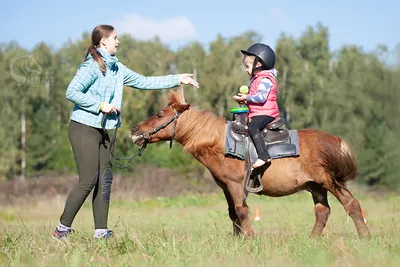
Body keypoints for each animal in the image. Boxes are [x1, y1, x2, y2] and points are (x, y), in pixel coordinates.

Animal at [130, 90, 370, 239]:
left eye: (159, 114)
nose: (134, 130)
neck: (220, 142)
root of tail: (335, 140)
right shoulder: (226, 186)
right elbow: (232, 212)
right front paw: (238, 239)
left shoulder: (236, 185)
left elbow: (242, 211)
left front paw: (250, 238)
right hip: (316, 187)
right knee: (322, 212)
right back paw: (312, 239)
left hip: (329, 181)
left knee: (352, 204)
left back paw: (365, 236)